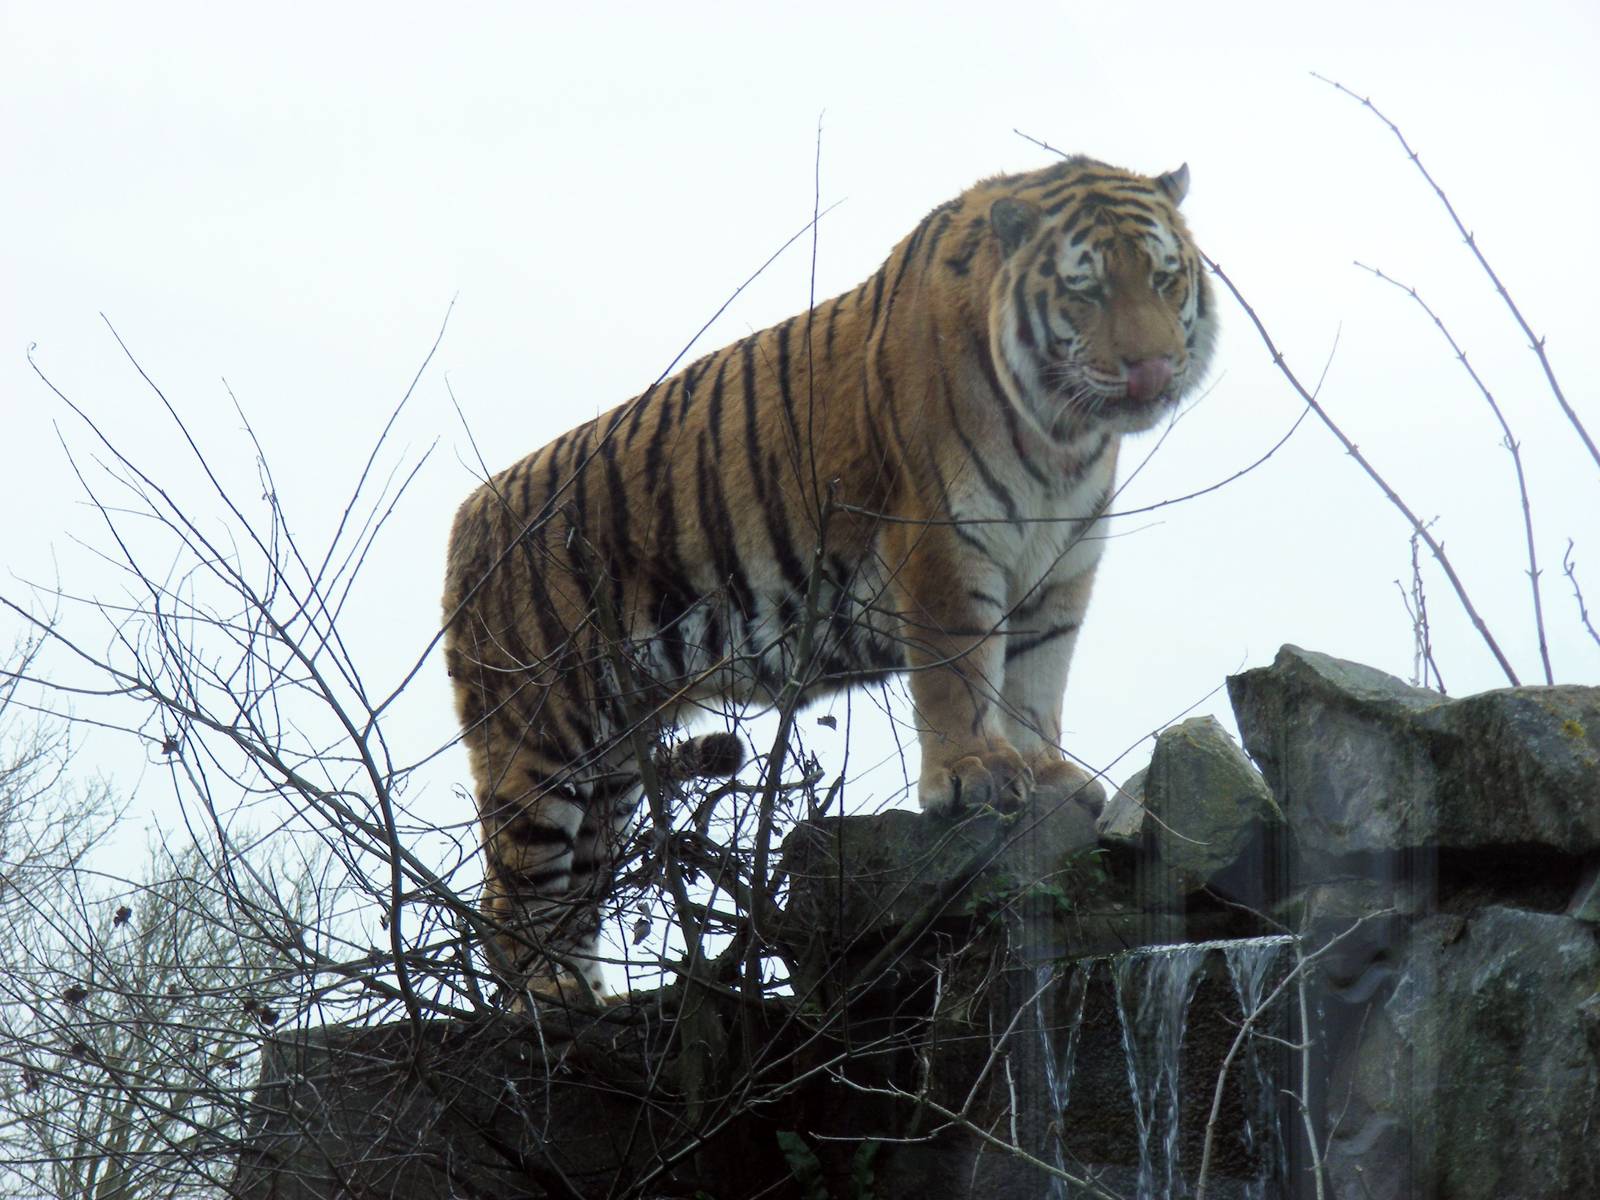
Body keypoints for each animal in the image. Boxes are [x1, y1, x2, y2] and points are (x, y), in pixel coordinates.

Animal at [442, 154, 1217, 1004]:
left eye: (1165, 277)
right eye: (1086, 288)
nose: (1152, 370)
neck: (1063, 435)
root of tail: (468, 514)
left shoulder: (1059, 568)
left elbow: (1035, 680)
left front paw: (1047, 776)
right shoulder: (943, 539)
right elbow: (960, 671)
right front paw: (971, 776)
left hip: (615, 758)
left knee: (579, 892)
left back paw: (587, 997)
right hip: (542, 735)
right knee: (510, 899)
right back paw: (548, 999)